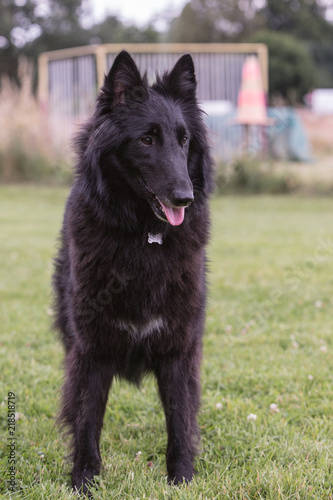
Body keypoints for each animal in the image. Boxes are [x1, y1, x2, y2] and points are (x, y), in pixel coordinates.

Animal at [52, 48, 213, 494]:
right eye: (146, 139)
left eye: (184, 140)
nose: (185, 197)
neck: (144, 238)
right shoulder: (91, 349)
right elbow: (87, 417)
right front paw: (84, 480)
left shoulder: (179, 347)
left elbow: (179, 417)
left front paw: (181, 479)